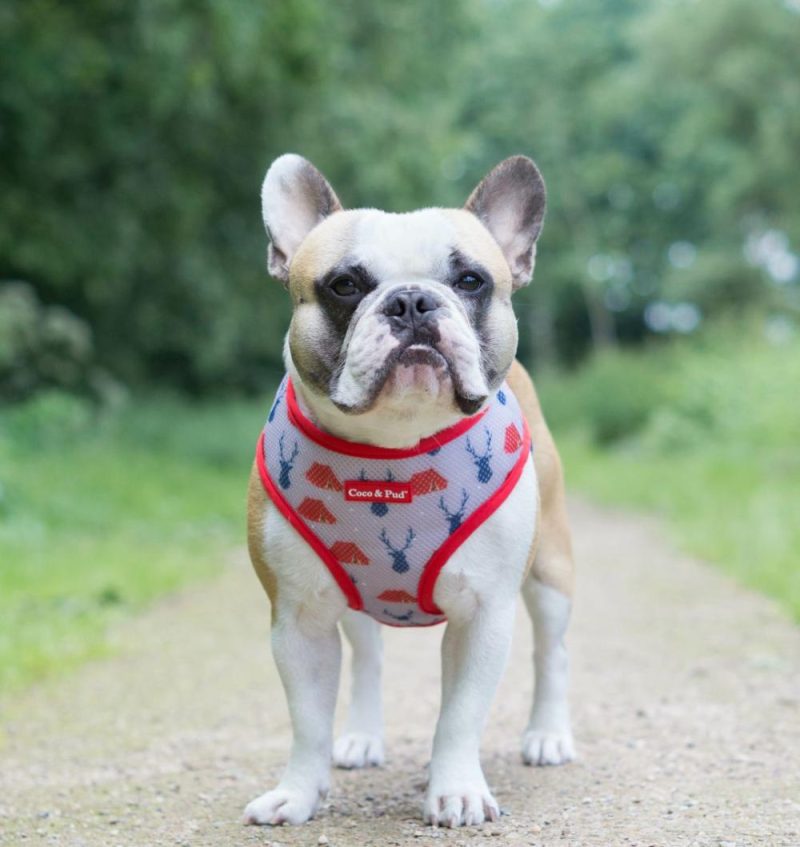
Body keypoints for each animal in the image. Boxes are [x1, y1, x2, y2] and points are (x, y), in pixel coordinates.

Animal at [244, 152, 576, 828]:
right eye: (345, 285)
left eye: (471, 281)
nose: (413, 301)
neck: (393, 447)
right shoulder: (297, 618)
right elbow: (306, 721)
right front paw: (297, 793)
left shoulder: (483, 613)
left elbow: (460, 716)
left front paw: (456, 790)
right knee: (368, 658)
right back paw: (362, 737)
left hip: (551, 566)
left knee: (551, 651)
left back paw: (548, 735)